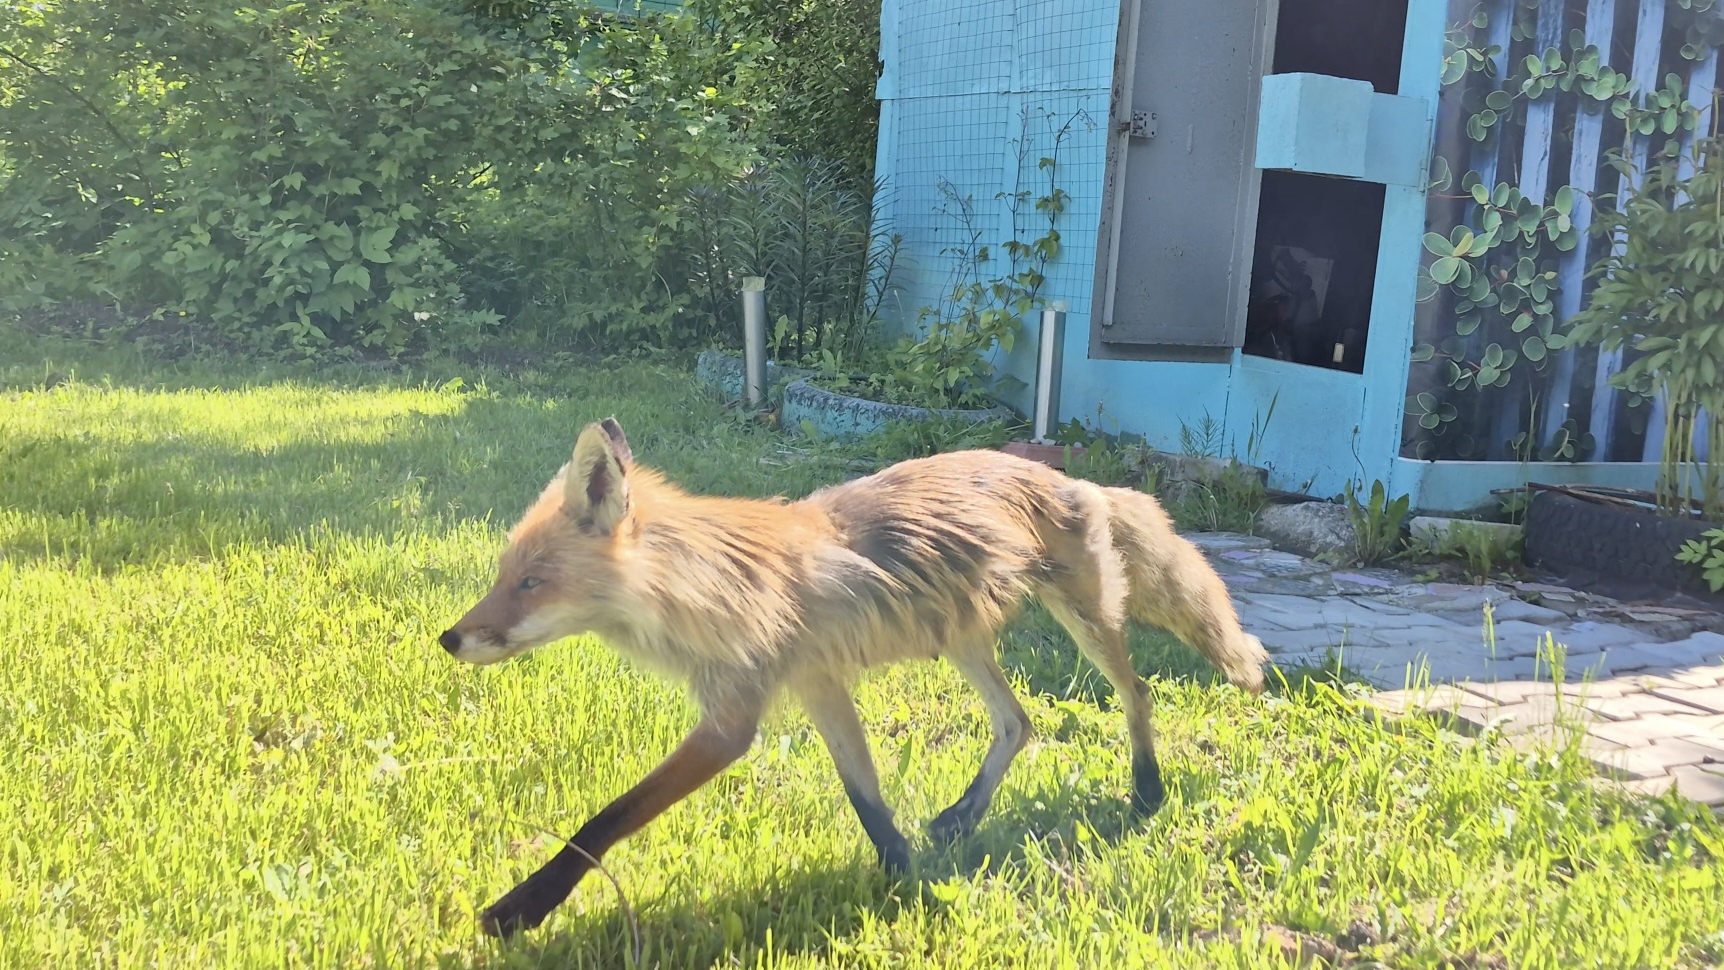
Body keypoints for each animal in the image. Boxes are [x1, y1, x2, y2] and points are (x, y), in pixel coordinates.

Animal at [439, 417, 1269, 937]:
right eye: (503, 577)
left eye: (531, 584)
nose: (449, 638)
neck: (712, 589)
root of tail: (1080, 479)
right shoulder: (817, 684)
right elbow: (868, 802)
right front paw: (908, 881)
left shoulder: (734, 720)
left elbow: (603, 820)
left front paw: (522, 909)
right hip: (961, 637)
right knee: (1019, 721)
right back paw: (963, 818)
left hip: (1083, 620)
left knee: (1137, 692)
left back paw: (1146, 790)